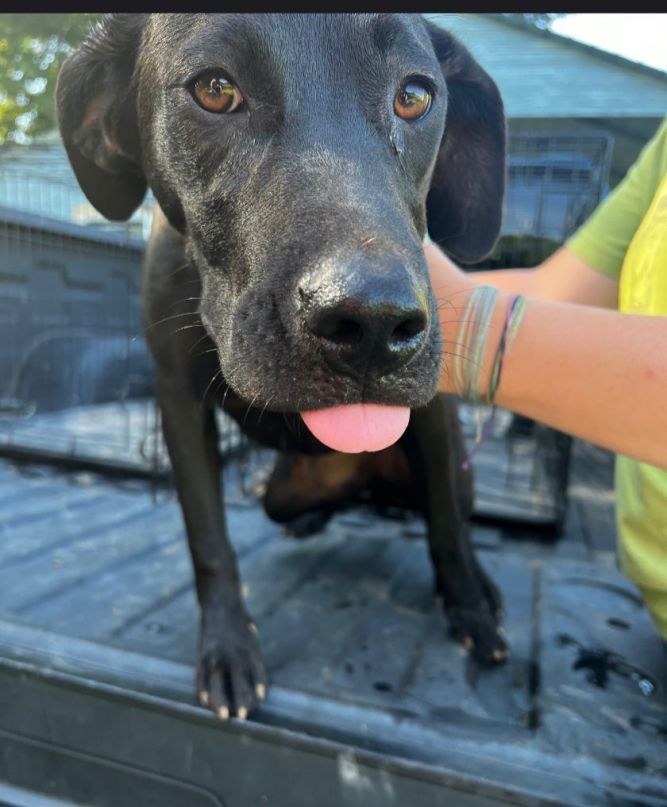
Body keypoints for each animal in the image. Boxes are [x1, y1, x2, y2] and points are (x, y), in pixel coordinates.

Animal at [57, 12, 508, 720]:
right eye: (215, 89)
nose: (373, 324)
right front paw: (228, 650)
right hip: (281, 493)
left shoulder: (433, 410)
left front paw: (469, 607)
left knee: (448, 509)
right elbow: (209, 540)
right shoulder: (175, 399)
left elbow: (448, 528)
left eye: (414, 95)